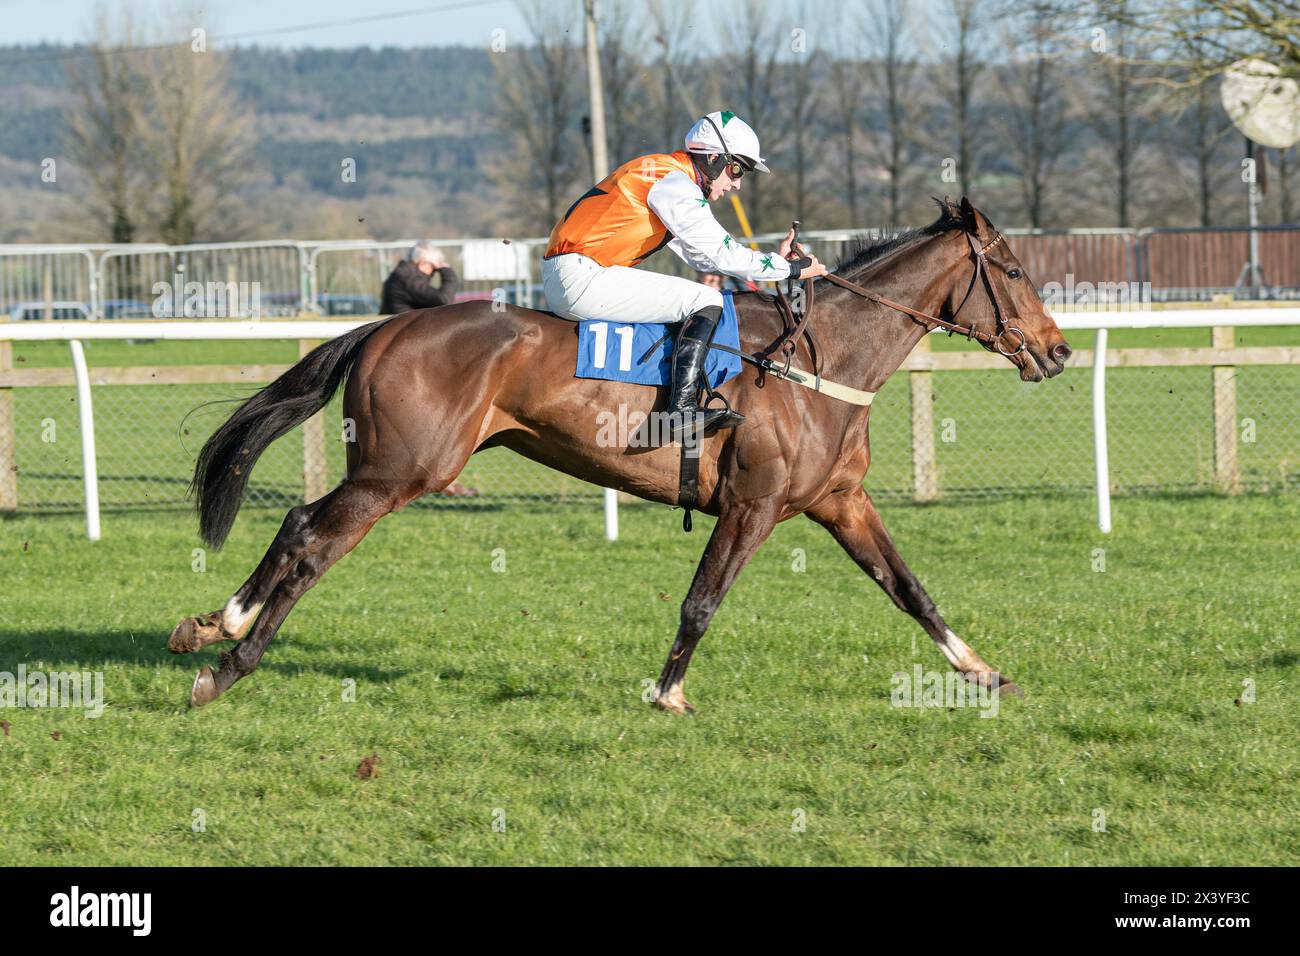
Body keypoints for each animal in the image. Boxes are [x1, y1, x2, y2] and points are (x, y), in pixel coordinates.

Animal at [170, 200, 1066, 712]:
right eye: (1014, 269)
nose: (1056, 352)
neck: (820, 361)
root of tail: (388, 326)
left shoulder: (839, 502)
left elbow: (910, 590)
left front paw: (985, 673)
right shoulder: (754, 505)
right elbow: (702, 601)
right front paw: (668, 692)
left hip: (391, 470)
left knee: (297, 522)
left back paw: (215, 624)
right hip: (403, 471)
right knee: (315, 541)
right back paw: (230, 663)